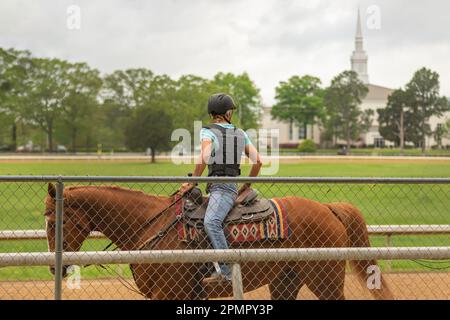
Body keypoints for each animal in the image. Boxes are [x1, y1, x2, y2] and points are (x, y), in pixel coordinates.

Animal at [44, 182, 392, 300]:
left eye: (55, 220)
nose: (54, 269)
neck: (152, 225)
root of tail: (327, 208)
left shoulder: (167, 293)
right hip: (285, 281)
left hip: (325, 280)